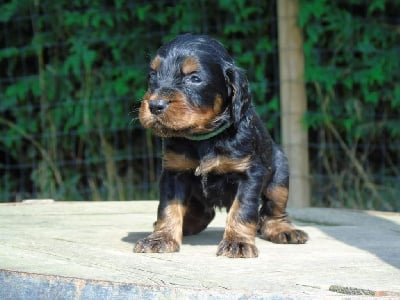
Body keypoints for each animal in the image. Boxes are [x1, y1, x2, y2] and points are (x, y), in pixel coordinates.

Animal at [134, 33, 306, 258]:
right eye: (152, 75)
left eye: (194, 78)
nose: (155, 105)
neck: (203, 139)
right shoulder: (173, 172)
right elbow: (168, 207)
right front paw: (161, 238)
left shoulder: (250, 173)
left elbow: (242, 210)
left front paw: (238, 242)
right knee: (203, 213)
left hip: (280, 174)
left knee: (273, 209)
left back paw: (284, 230)